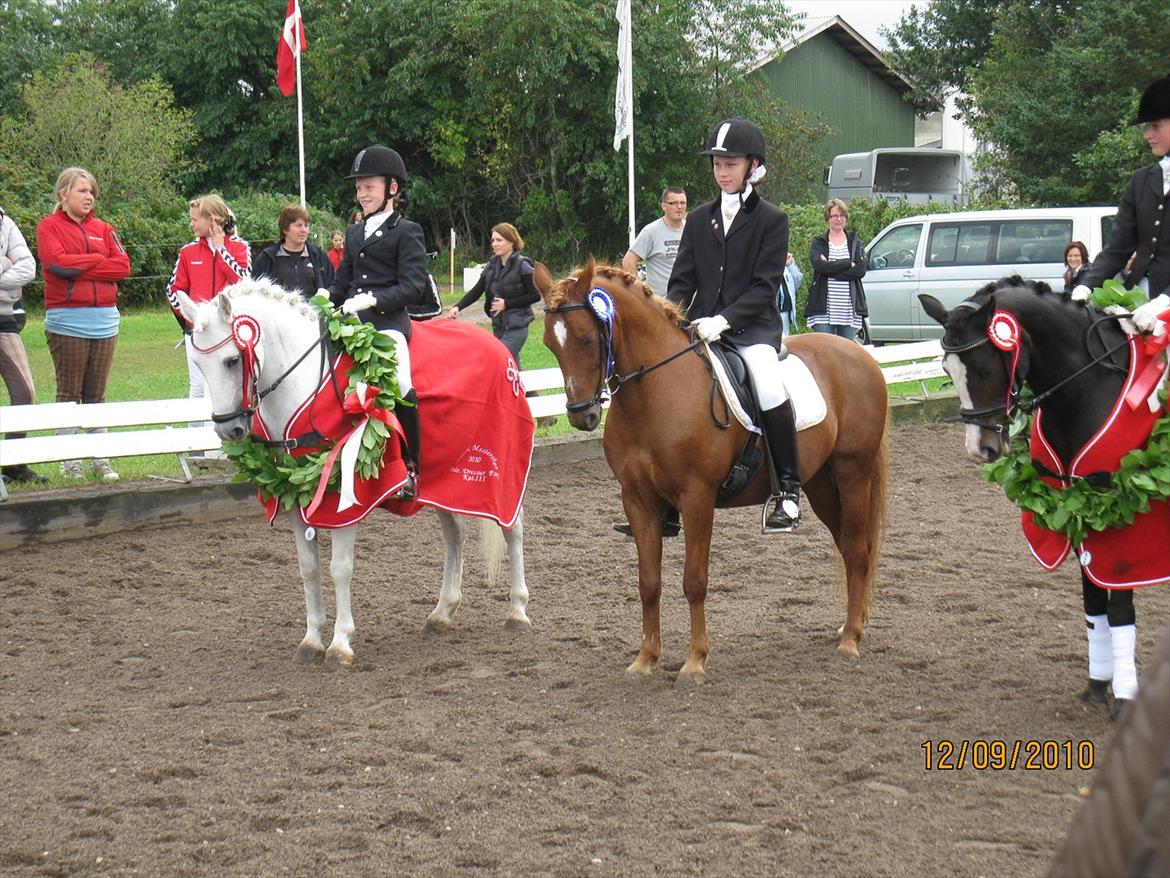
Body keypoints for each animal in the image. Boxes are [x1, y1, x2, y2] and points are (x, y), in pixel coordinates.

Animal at [173, 282, 531, 664]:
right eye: (198, 363)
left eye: (232, 360)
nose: (229, 430)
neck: (307, 385)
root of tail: (497, 348)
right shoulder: (294, 495)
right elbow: (308, 568)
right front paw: (311, 640)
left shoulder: (343, 500)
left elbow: (339, 569)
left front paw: (340, 643)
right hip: (443, 481)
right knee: (455, 533)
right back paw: (442, 612)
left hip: (500, 472)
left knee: (513, 528)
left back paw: (517, 612)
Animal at [535, 261, 884, 688]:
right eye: (550, 344)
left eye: (587, 339)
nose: (582, 416)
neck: (654, 392)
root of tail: (860, 353)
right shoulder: (638, 501)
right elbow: (648, 583)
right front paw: (645, 658)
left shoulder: (697, 497)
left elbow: (694, 580)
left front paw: (695, 661)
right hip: (821, 484)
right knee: (851, 547)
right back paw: (852, 624)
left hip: (854, 473)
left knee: (857, 550)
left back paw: (850, 639)